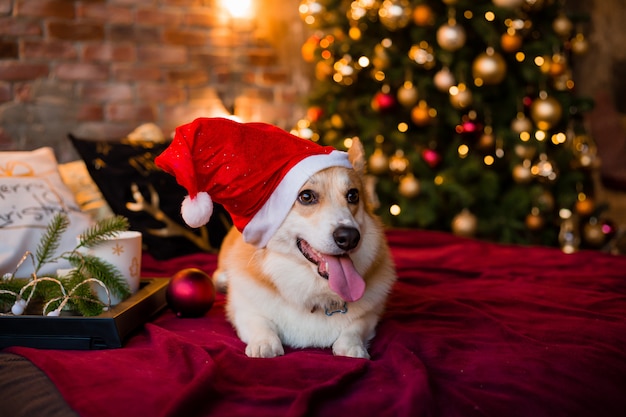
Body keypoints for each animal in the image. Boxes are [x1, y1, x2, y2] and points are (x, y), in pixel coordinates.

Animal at [212, 139, 392, 358]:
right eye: (306, 197)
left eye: (353, 195)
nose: (349, 237)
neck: (314, 292)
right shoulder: (243, 309)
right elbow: (259, 322)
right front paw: (264, 344)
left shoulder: (371, 314)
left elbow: (356, 327)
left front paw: (352, 347)